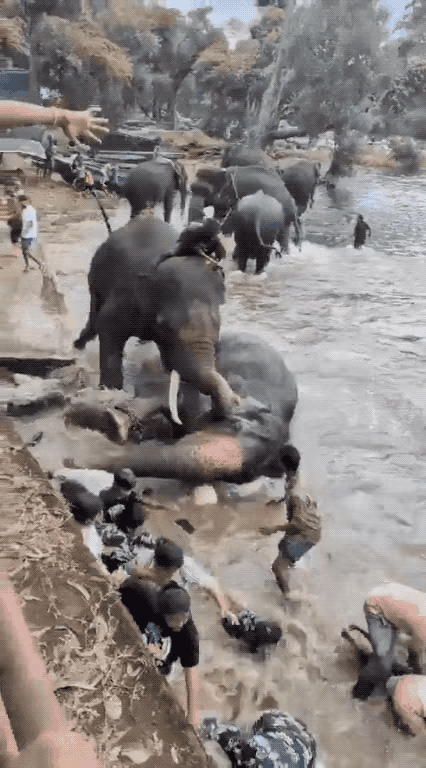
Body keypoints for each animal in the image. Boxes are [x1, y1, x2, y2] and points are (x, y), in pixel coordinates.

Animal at [73, 215, 238, 420]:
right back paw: (78, 344)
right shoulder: (125, 297)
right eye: (165, 325)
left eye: (218, 329)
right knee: (94, 310)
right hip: (96, 272)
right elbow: (108, 329)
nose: (236, 401)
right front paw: (111, 391)